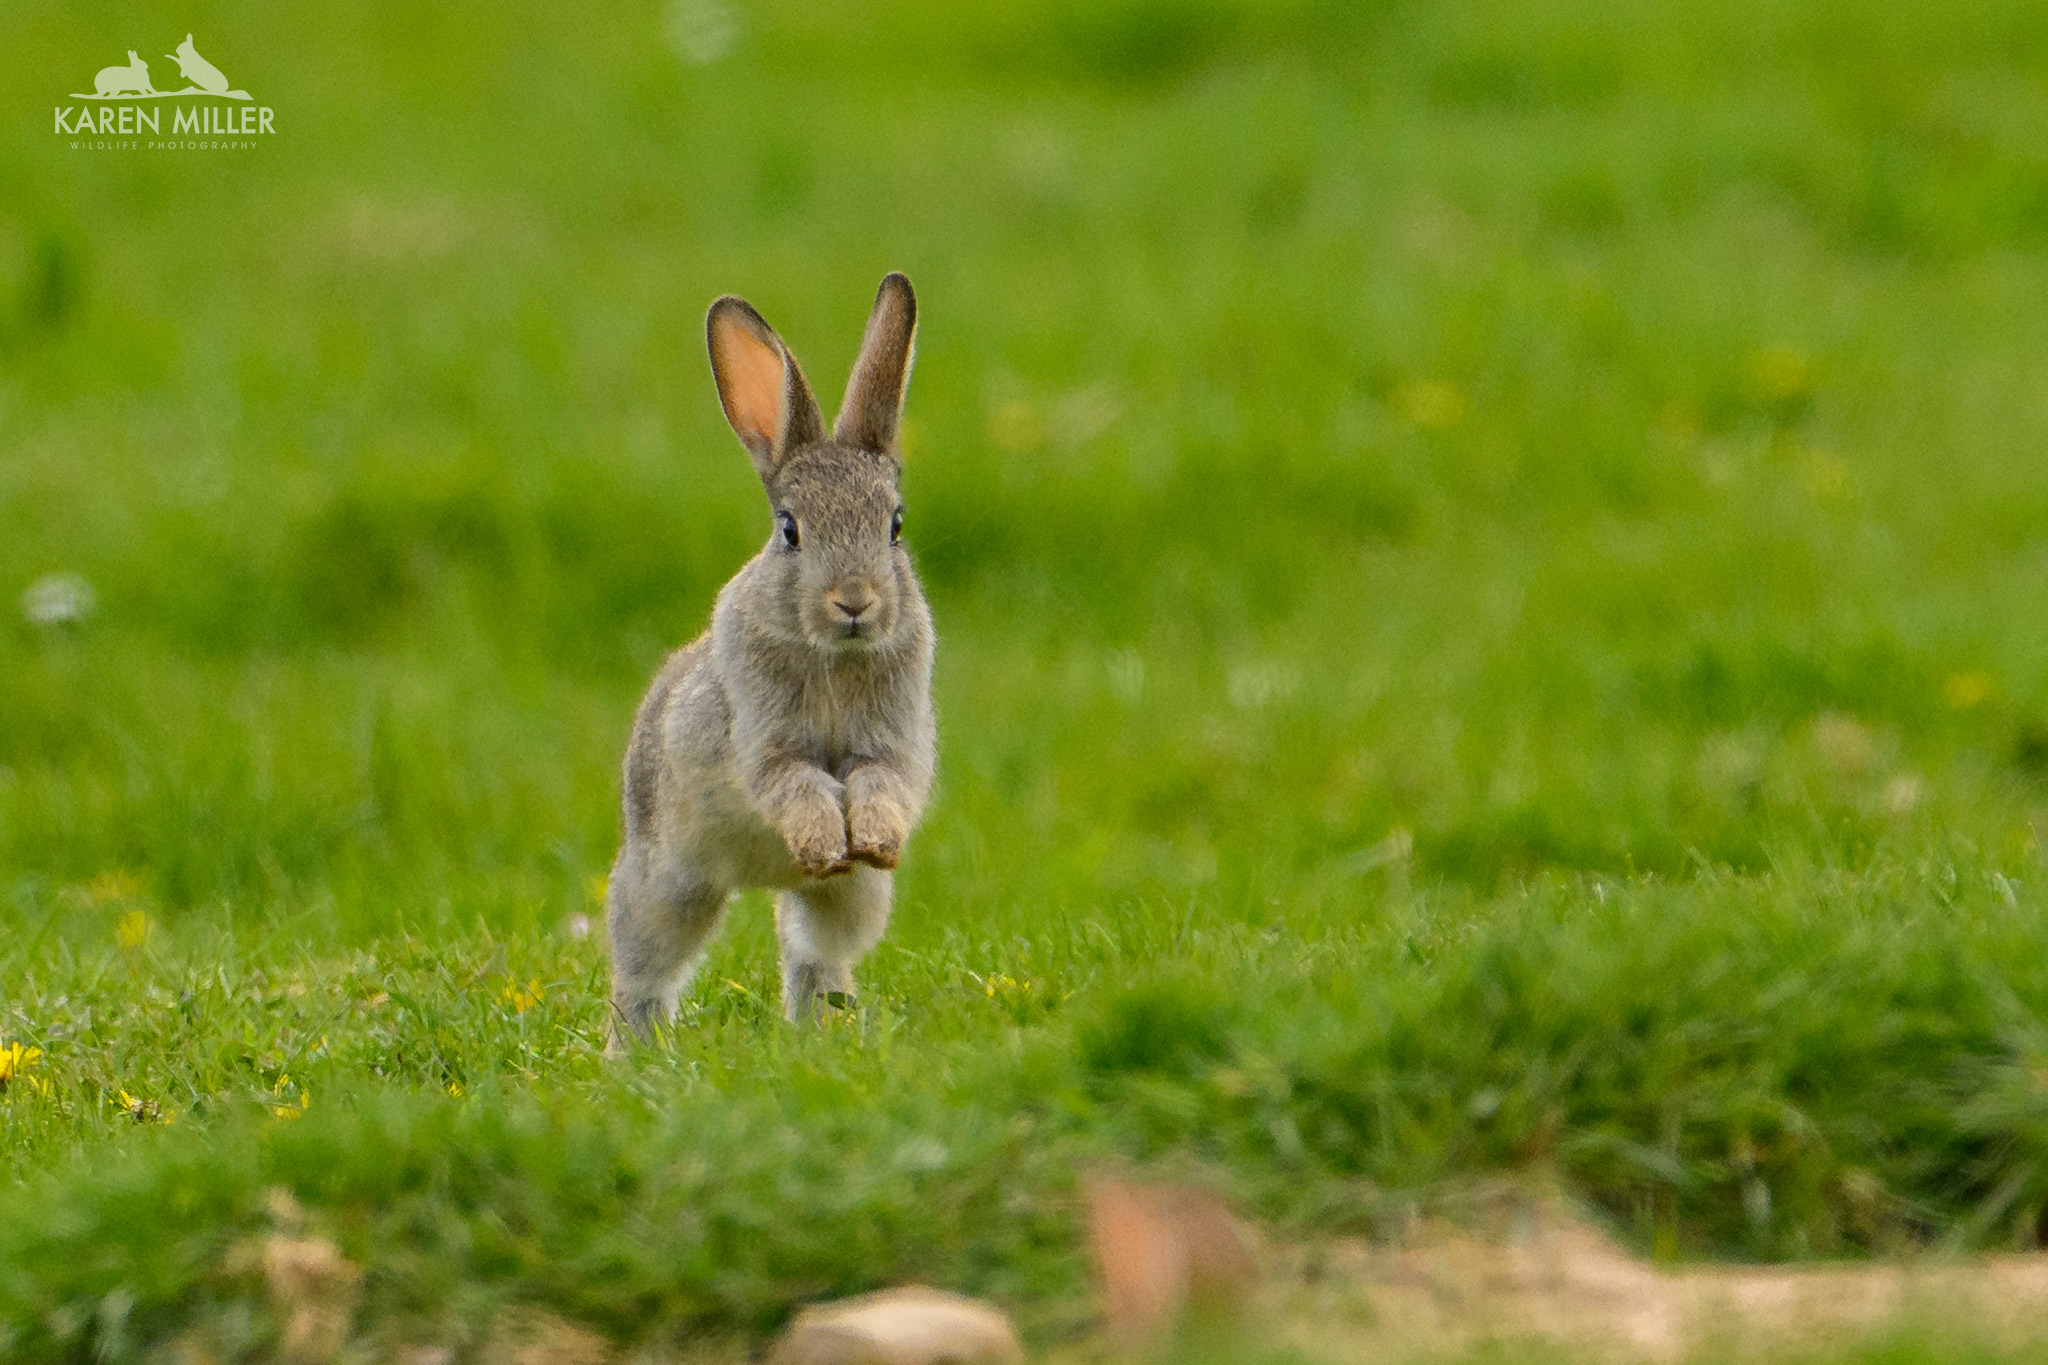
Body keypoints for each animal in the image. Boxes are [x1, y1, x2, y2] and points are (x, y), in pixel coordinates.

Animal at [607, 273, 935, 1042]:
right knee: (641, 973)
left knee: (815, 955)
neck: (833, 655)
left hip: (844, 906)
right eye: (790, 529)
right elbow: (797, 783)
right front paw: (822, 842)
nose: (855, 601)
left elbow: (881, 783)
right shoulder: (766, 745)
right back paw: (633, 1052)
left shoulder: (892, 745)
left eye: (895, 525)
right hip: (666, 881)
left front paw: (871, 842)